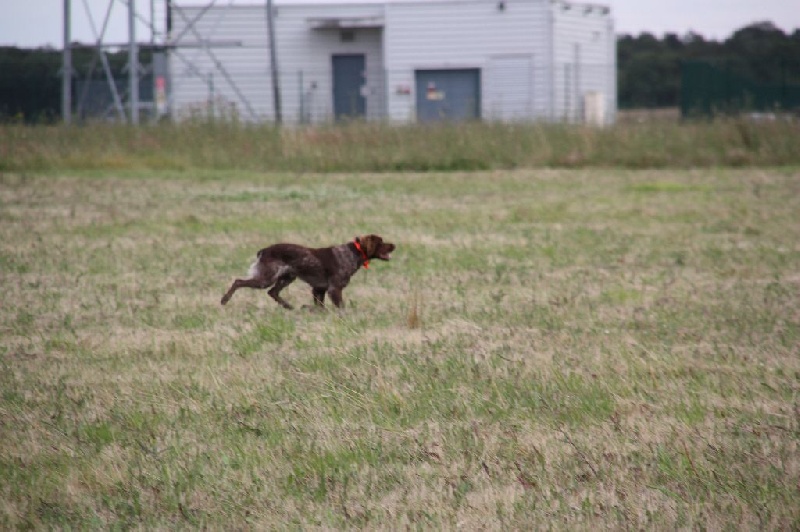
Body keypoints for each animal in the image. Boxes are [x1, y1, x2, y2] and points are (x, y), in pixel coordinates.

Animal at [220, 235, 396, 310]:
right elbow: (340, 307)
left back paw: (288, 306)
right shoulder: (334, 289)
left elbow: (320, 307)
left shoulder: (319, 289)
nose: (394, 245)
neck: (353, 253)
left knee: (273, 292)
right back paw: (224, 300)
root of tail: (264, 251)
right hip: (266, 278)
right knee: (238, 281)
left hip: (287, 277)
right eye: (381, 242)